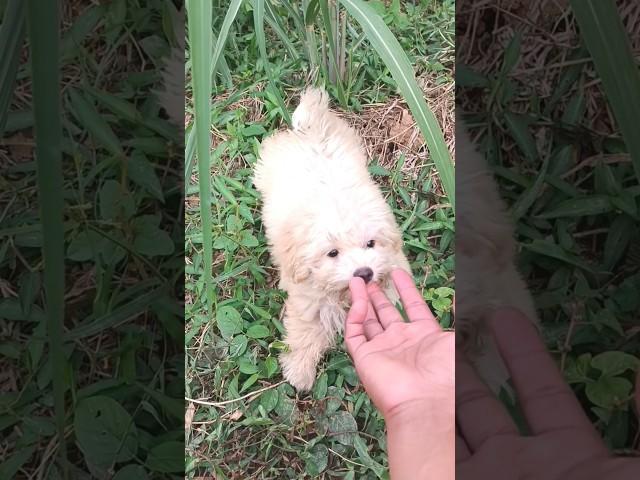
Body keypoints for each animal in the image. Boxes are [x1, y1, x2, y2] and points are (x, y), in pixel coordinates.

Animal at [254, 88, 410, 392]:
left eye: (371, 244)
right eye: (333, 253)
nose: (364, 273)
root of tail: (311, 129)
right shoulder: (308, 297)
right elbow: (305, 332)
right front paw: (299, 371)